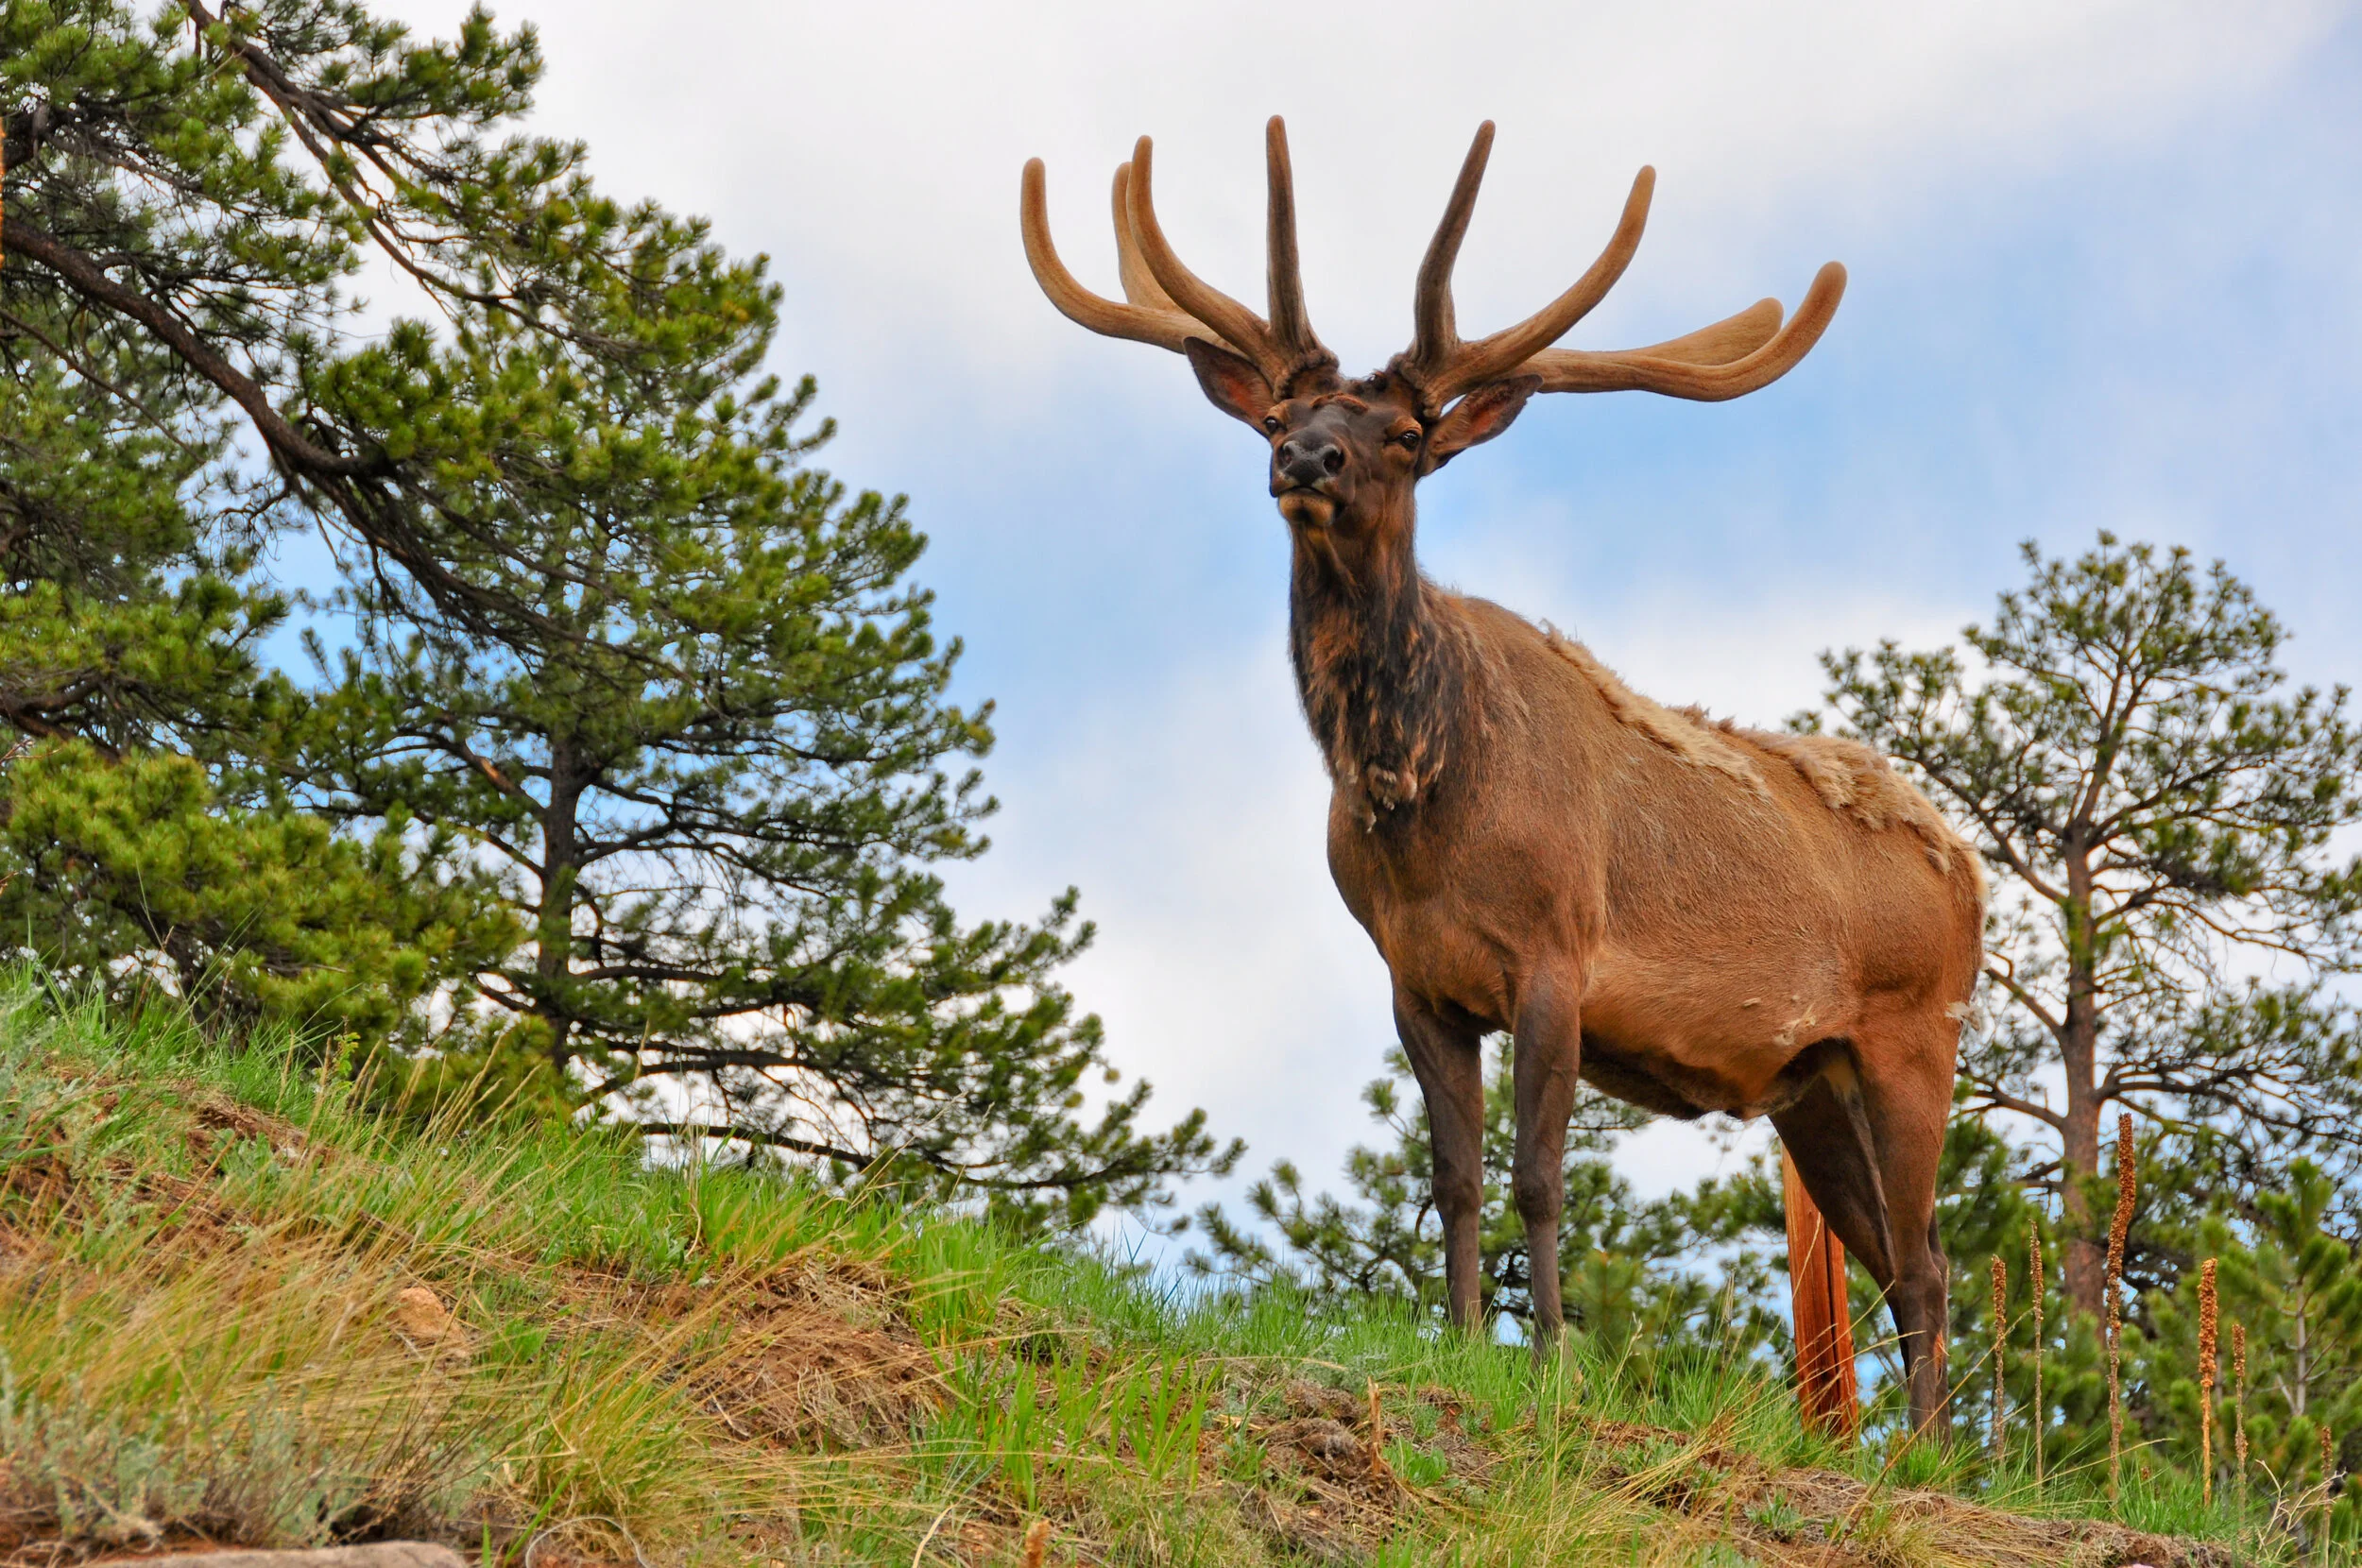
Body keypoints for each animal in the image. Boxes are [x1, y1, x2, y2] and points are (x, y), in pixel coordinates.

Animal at [1020, 118, 1983, 1433]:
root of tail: (1971, 872)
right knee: (1891, 1256)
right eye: (1280, 410)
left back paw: (1932, 1454)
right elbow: (1454, 1176)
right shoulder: (1415, 979)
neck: (1422, 808)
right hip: (1806, 1082)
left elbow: (1537, 1177)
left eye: (1405, 436)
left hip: (1912, 1033)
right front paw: (1465, 1343)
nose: (1303, 456)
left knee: (1930, 1260)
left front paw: (1552, 1370)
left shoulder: (1555, 955)